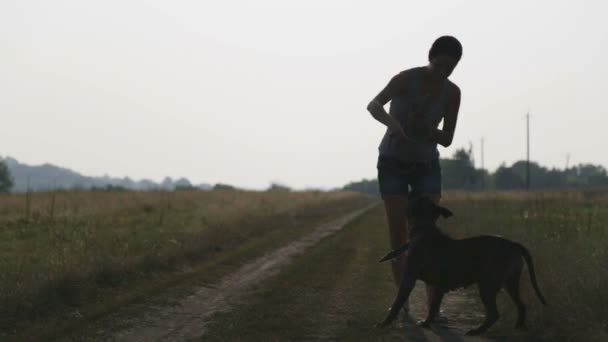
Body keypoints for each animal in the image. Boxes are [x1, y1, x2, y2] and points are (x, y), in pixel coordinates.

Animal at [376, 196, 548, 336]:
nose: (410, 194)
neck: (424, 230)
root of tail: (513, 244)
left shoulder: (409, 280)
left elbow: (398, 303)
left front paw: (384, 324)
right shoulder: (439, 286)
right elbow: (433, 307)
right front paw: (427, 323)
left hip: (487, 285)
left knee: (494, 314)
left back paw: (477, 331)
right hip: (510, 283)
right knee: (521, 305)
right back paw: (519, 327)